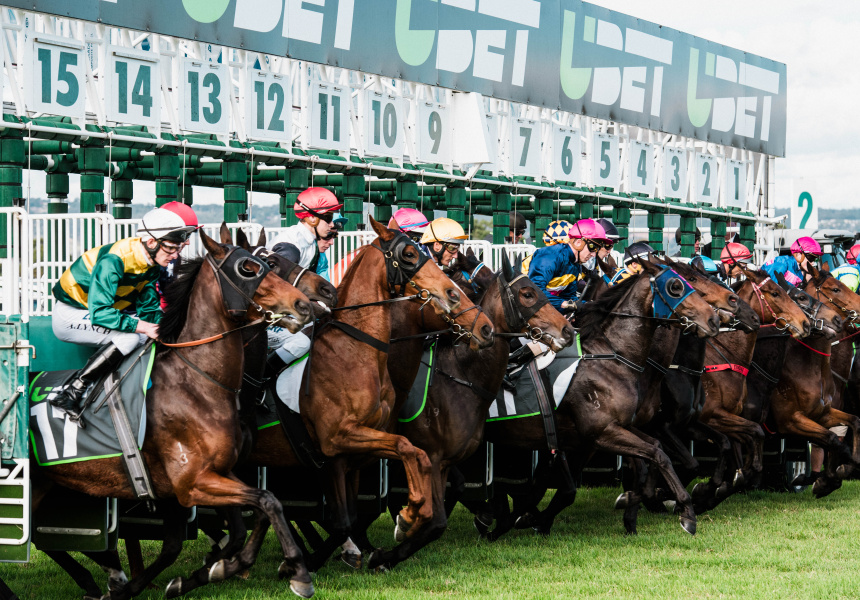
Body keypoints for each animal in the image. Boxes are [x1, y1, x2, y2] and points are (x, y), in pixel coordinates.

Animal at [32, 227, 320, 596]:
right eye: (250, 268)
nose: (304, 304)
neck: (198, 380)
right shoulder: (191, 484)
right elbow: (267, 502)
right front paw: (298, 572)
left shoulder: (219, 472)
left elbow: (255, 514)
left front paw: (212, 571)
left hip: (49, 483)